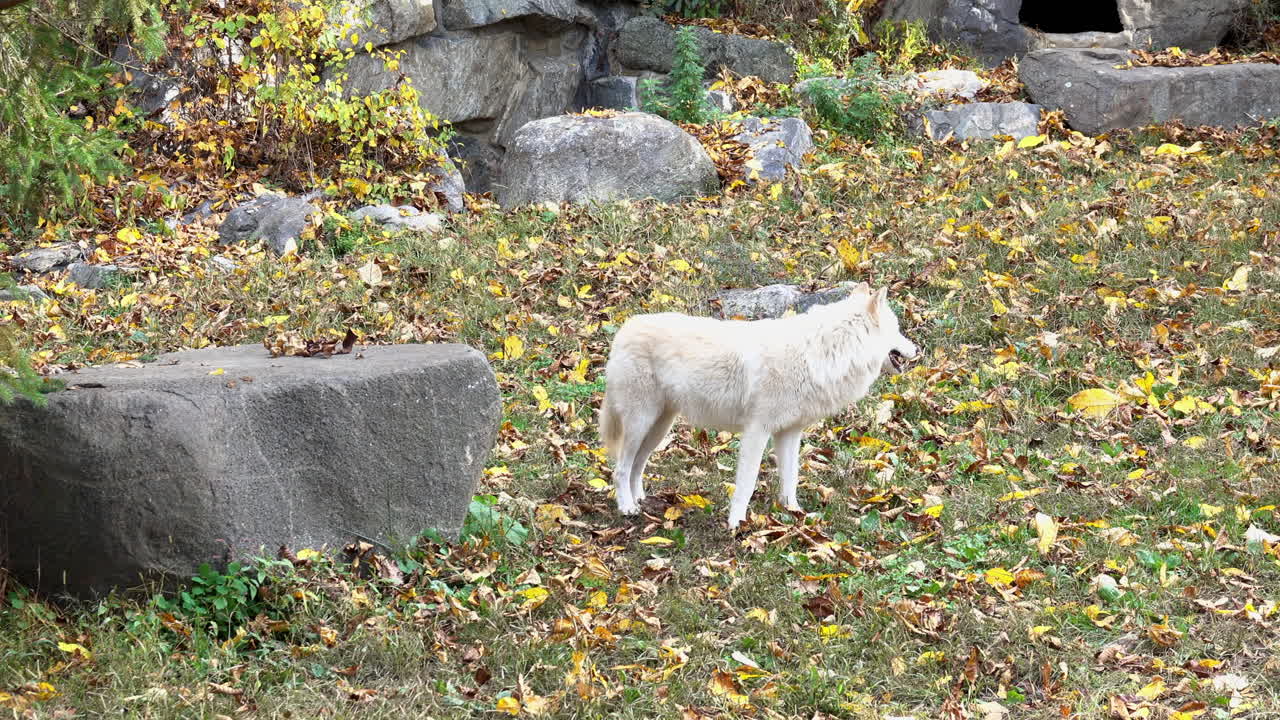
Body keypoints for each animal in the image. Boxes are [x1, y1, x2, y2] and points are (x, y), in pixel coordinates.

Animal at [598, 284, 919, 529]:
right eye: (897, 330)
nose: (917, 349)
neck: (823, 353)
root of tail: (625, 328)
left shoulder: (789, 433)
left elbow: (790, 479)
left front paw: (794, 514)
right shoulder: (757, 431)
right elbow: (747, 483)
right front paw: (736, 524)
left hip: (659, 427)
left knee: (637, 465)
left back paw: (639, 499)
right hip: (641, 422)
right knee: (620, 468)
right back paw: (627, 507)